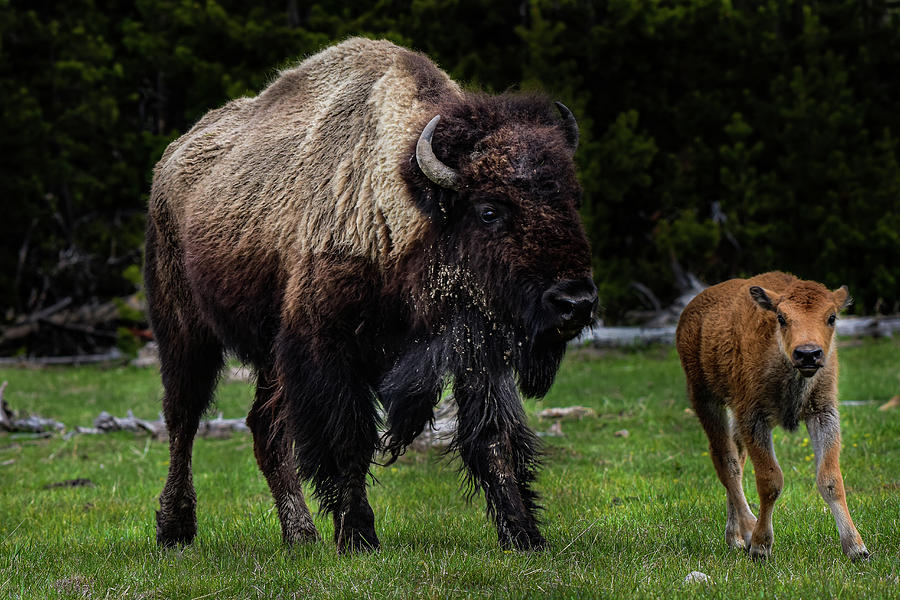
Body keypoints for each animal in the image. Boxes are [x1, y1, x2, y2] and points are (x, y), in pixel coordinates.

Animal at [146, 37, 596, 552]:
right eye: (488, 210)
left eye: (571, 199)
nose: (575, 303)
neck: (409, 204)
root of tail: (169, 162)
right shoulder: (327, 347)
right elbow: (349, 440)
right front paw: (359, 536)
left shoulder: (477, 350)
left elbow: (494, 436)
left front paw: (524, 535)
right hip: (184, 331)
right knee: (184, 420)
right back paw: (176, 530)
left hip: (269, 356)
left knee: (265, 429)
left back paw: (300, 536)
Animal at [680, 274, 868, 560]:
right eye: (781, 317)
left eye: (832, 317)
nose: (808, 354)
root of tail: (691, 309)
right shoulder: (754, 418)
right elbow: (770, 481)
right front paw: (760, 545)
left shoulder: (822, 413)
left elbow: (831, 479)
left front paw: (856, 548)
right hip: (705, 398)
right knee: (727, 463)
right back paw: (747, 531)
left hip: (732, 415)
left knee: (736, 459)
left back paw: (734, 537)